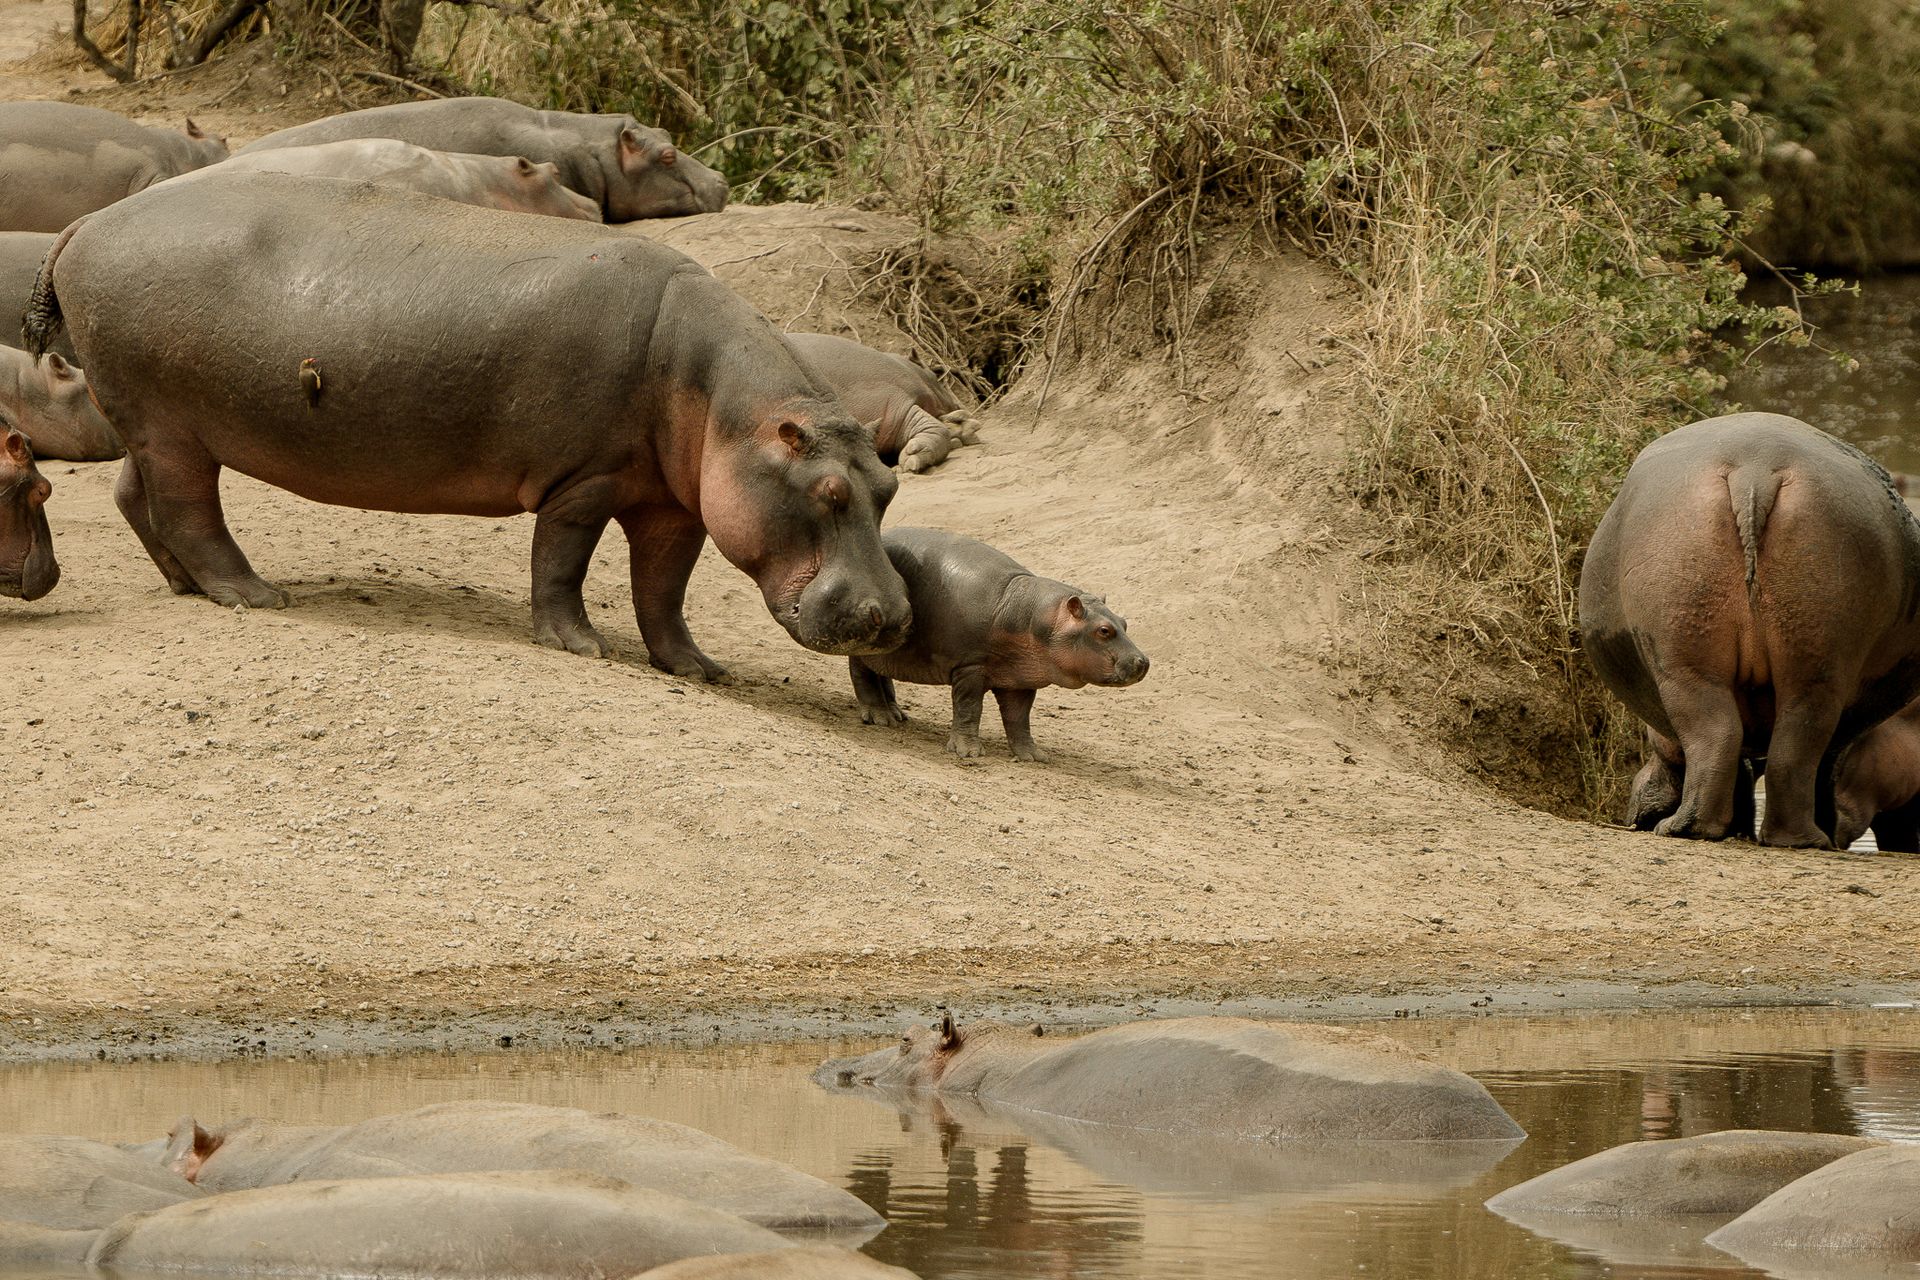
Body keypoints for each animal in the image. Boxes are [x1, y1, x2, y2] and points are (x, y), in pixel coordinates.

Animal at [24, 173, 909, 676]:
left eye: (887, 484)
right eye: (829, 494)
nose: (891, 618)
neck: (730, 404)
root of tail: (87, 223)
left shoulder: (675, 505)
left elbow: (664, 591)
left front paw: (698, 668)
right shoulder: (582, 483)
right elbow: (562, 566)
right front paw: (580, 647)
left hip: (155, 419)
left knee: (135, 496)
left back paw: (187, 585)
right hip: (174, 427)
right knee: (188, 510)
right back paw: (255, 595)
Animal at [848, 528, 1147, 761]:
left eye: (1124, 622)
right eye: (1104, 630)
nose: (1143, 662)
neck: (1031, 614)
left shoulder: (1021, 680)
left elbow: (1019, 719)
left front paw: (1033, 756)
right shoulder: (970, 668)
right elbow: (969, 708)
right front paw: (968, 752)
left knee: (880, 673)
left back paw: (897, 714)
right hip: (867, 647)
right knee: (862, 675)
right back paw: (880, 718)